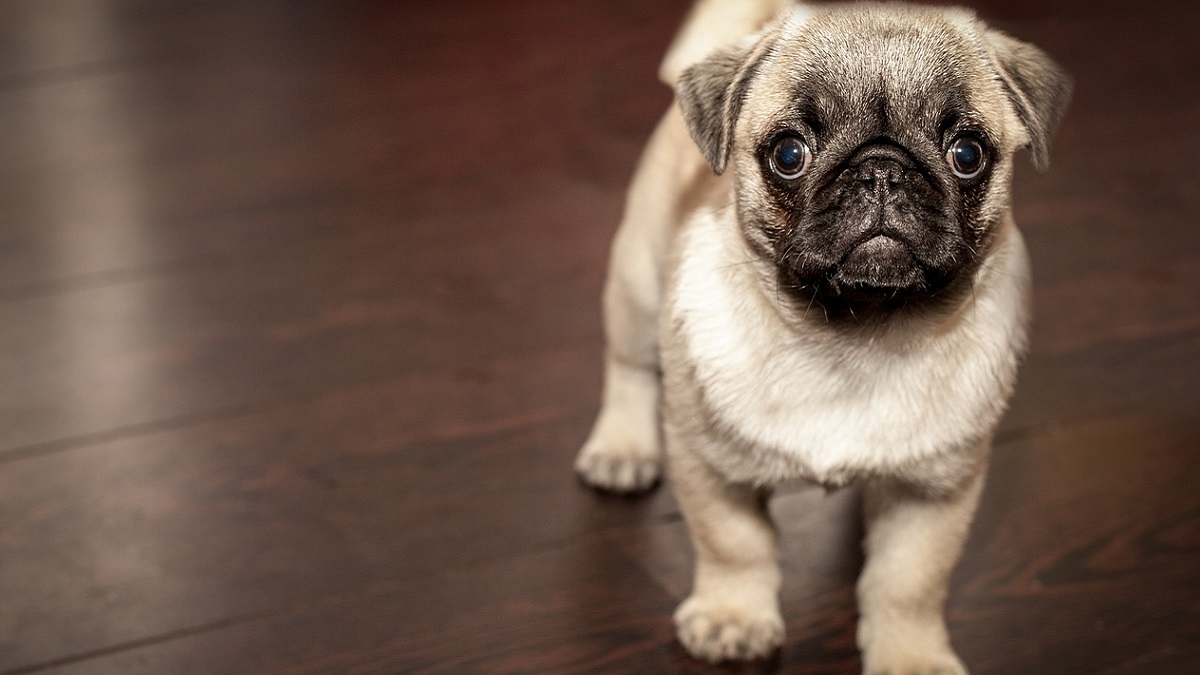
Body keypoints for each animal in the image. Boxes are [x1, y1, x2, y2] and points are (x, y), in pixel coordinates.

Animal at [571, 1, 1070, 667]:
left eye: (968, 154)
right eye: (789, 155)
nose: (882, 170)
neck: (853, 334)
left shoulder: (934, 493)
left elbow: (909, 580)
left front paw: (909, 656)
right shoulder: (710, 466)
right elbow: (734, 544)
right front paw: (733, 617)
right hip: (636, 281)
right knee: (628, 368)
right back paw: (622, 450)